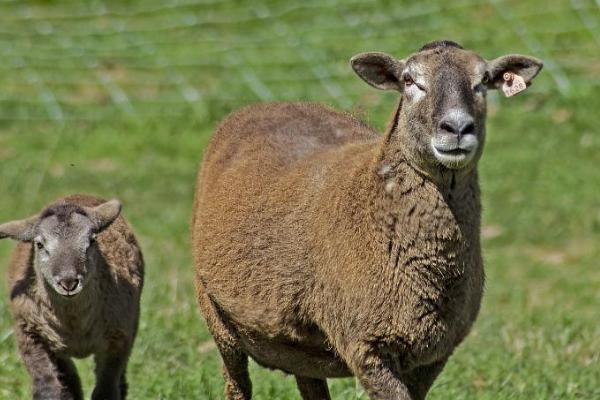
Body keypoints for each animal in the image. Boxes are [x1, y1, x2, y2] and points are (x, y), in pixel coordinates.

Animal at [0, 194, 144, 400]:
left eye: (92, 240)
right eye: (40, 244)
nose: (68, 282)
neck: (74, 323)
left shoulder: (117, 340)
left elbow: (105, 391)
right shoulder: (30, 334)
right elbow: (47, 389)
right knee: (70, 383)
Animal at [191, 39, 544, 398]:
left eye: (483, 80)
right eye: (409, 80)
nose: (457, 128)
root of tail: (268, 105)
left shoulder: (434, 354)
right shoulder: (368, 346)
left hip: (300, 345)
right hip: (217, 317)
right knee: (237, 382)